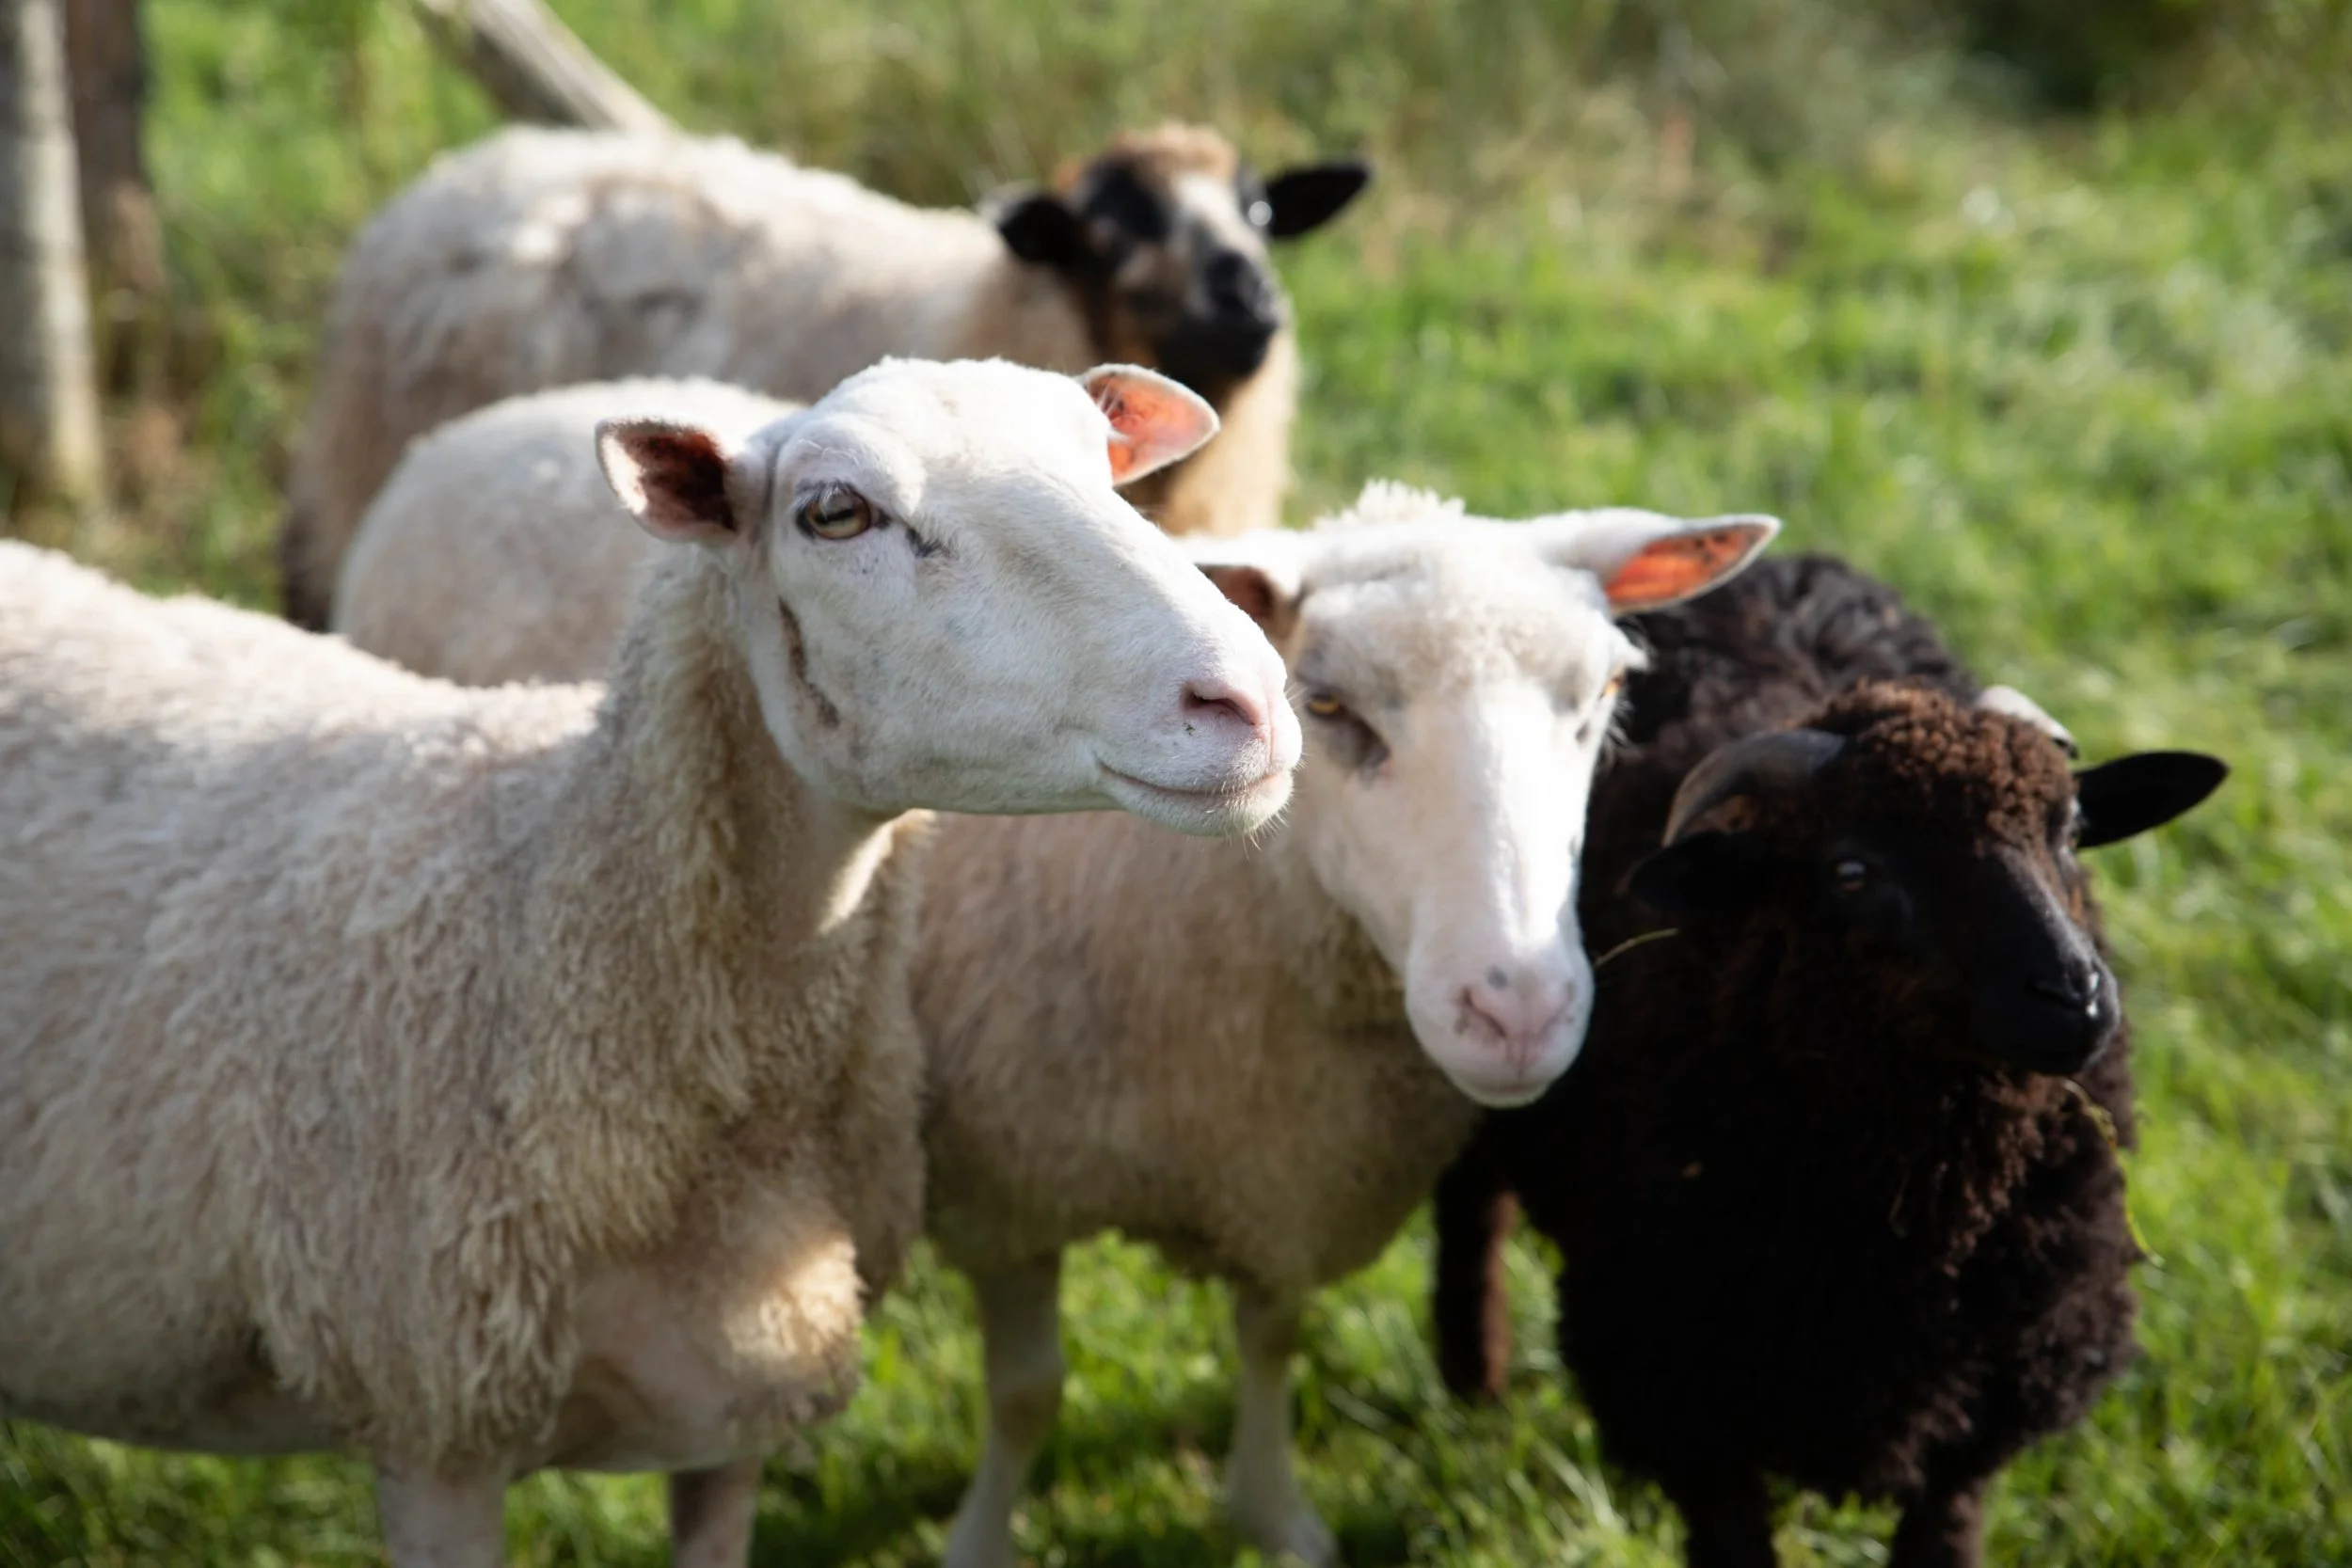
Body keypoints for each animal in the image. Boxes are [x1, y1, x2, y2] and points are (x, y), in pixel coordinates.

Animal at [912, 485, 1779, 1568]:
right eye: (1325, 706)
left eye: (1607, 690)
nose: (1518, 1011)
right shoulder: (1008, 1196)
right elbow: (1027, 1392)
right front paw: (980, 1540)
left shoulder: (1291, 1169)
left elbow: (1271, 1336)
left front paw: (1275, 1515)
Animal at [1427, 561, 2227, 1568]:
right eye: (1853, 872)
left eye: (2071, 832)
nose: (2074, 997)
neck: (1918, 1212)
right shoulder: (1685, 1392)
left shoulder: (1981, 1416)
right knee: (1470, 1204)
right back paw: (1475, 1385)